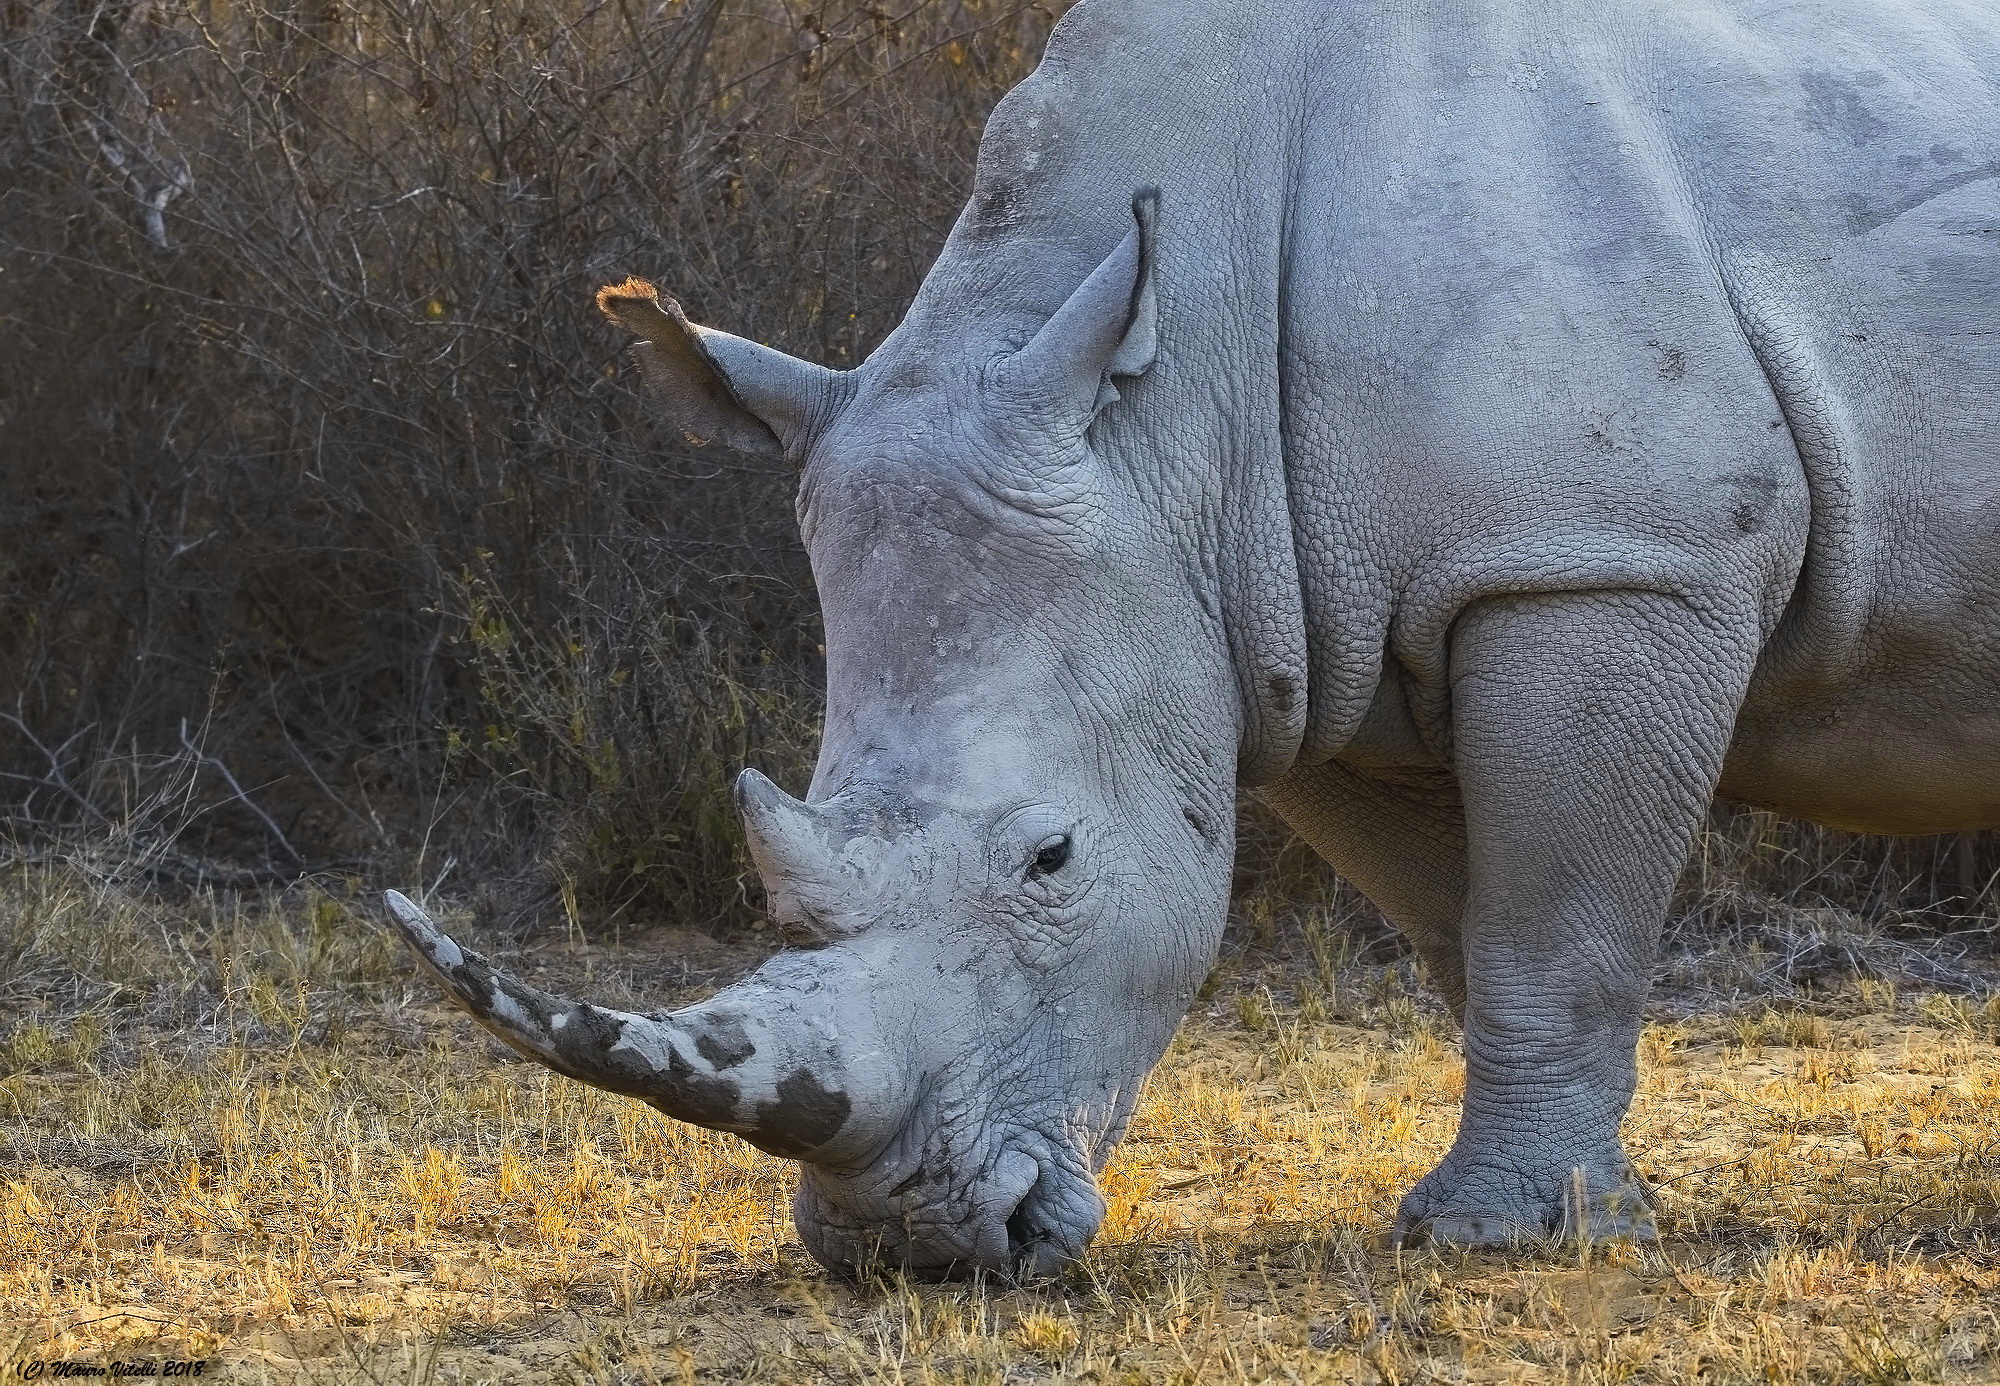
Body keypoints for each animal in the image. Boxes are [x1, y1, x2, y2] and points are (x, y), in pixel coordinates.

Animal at [383, 0, 2000, 1273]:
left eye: (1051, 861)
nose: (910, 1246)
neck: (1167, 423)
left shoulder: (1602, 559)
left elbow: (1555, 919)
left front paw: (1500, 1236)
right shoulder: (1312, 647)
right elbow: (1467, 926)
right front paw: (1549, 1205)